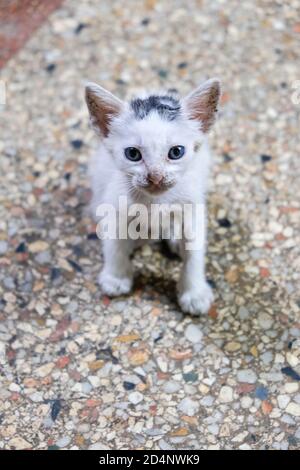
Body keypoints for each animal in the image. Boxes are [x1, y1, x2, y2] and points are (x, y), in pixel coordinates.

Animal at [84, 79, 220, 316]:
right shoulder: (113, 207)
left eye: (176, 152)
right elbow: (113, 244)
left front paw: (194, 293)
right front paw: (116, 277)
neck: (156, 202)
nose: (155, 177)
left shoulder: (193, 207)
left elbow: (194, 252)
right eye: (133, 154)